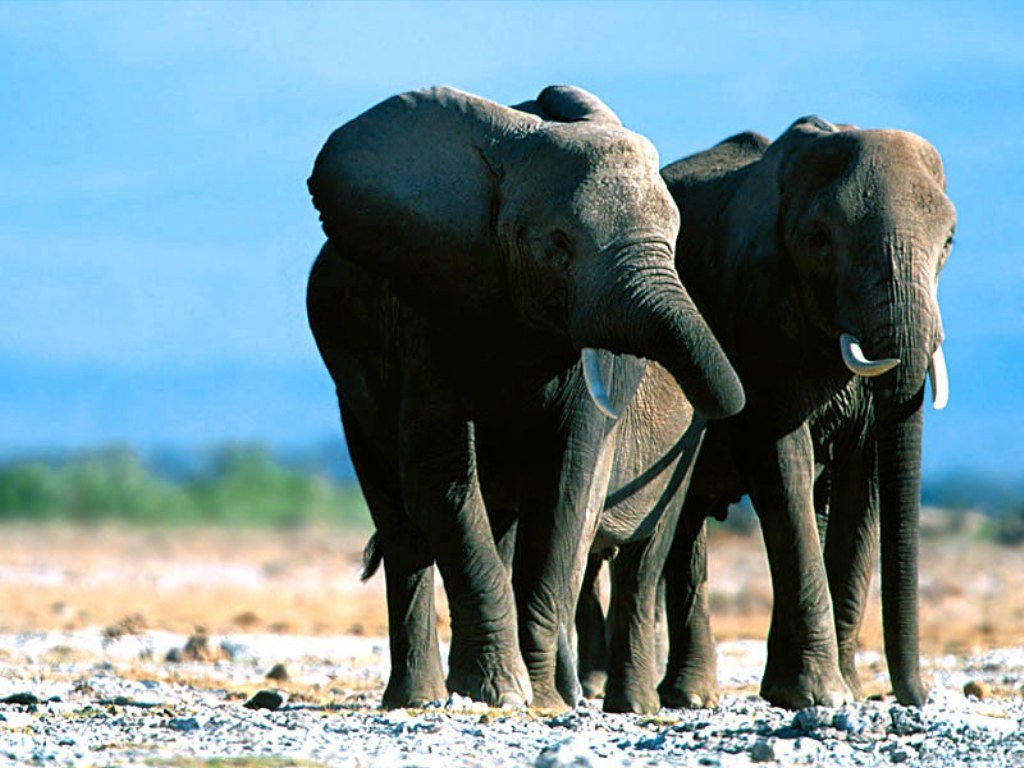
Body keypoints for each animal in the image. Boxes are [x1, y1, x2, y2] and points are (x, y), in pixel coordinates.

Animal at [305, 84, 744, 710]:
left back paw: (627, 704)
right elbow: (439, 479)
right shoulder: (427, 309)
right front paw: (499, 694)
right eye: (557, 244)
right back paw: (415, 700)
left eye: (676, 239)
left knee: (641, 558)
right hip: (350, 387)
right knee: (402, 527)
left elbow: (566, 487)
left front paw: (540, 699)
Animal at [579, 117, 955, 710]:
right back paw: (690, 697)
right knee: (687, 523)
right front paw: (820, 696)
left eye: (949, 242)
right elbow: (781, 457)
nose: (913, 697)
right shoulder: (757, 314)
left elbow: (864, 480)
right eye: (821, 241)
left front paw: (829, 692)